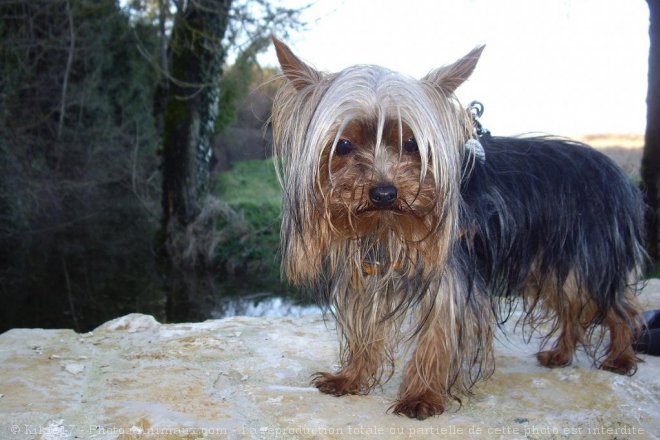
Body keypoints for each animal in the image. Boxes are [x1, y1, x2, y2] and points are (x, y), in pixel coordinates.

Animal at [268, 37, 644, 420]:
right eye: (343, 145)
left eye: (412, 144)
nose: (384, 193)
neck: (389, 227)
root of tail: (617, 173)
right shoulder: (369, 272)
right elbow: (366, 328)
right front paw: (350, 377)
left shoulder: (451, 275)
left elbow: (438, 334)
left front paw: (421, 396)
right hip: (551, 261)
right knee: (572, 306)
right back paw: (561, 354)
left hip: (590, 256)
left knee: (618, 307)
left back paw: (620, 357)